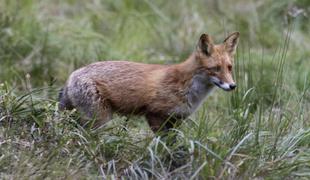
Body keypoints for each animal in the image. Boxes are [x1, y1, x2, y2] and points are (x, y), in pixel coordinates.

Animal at [59, 32, 241, 133]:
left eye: (229, 68)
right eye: (215, 69)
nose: (232, 86)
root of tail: (72, 75)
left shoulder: (176, 120)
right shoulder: (154, 114)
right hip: (99, 119)